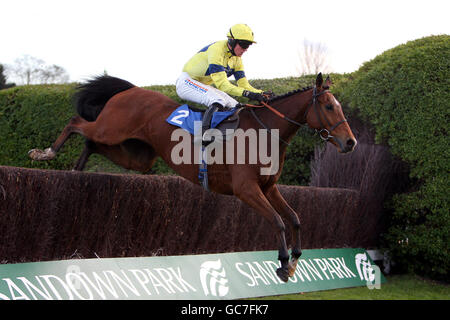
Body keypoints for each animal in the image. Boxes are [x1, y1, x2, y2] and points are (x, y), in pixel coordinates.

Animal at [29, 73, 358, 282]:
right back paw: (45, 153)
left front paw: (293, 263)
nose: (350, 142)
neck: (265, 131)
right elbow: (278, 221)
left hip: (136, 155)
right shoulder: (247, 189)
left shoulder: (269, 187)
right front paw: (282, 264)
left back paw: (77, 169)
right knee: (76, 123)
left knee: (91, 142)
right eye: (329, 106)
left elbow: (295, 218)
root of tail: (131, 89)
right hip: (111, 128)